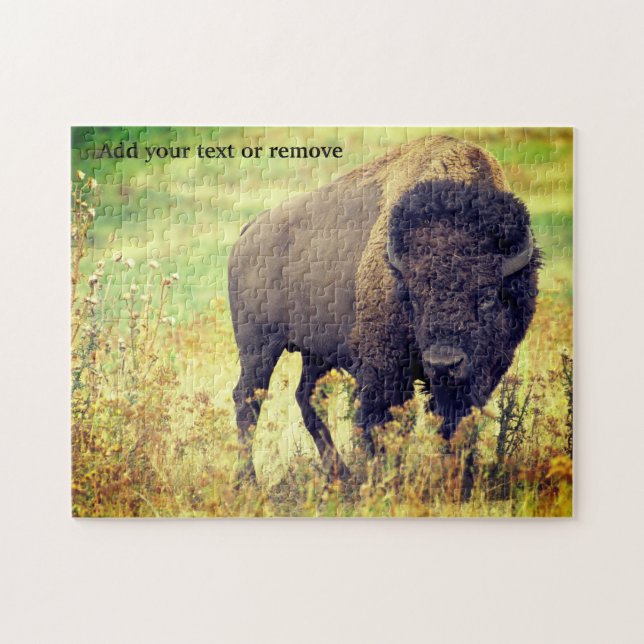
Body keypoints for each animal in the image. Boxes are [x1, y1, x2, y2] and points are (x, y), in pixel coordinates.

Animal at [228, 135, 540, 480]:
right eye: (414, 296)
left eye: (486, 296)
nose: (443, 363)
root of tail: (250, 231)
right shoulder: (385, 370)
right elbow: (383, 424)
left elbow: (454, 424)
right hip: (258, 347)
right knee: (247, 399)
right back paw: (249, 480)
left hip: (315, 353)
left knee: (305, 397)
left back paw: (340, 474)